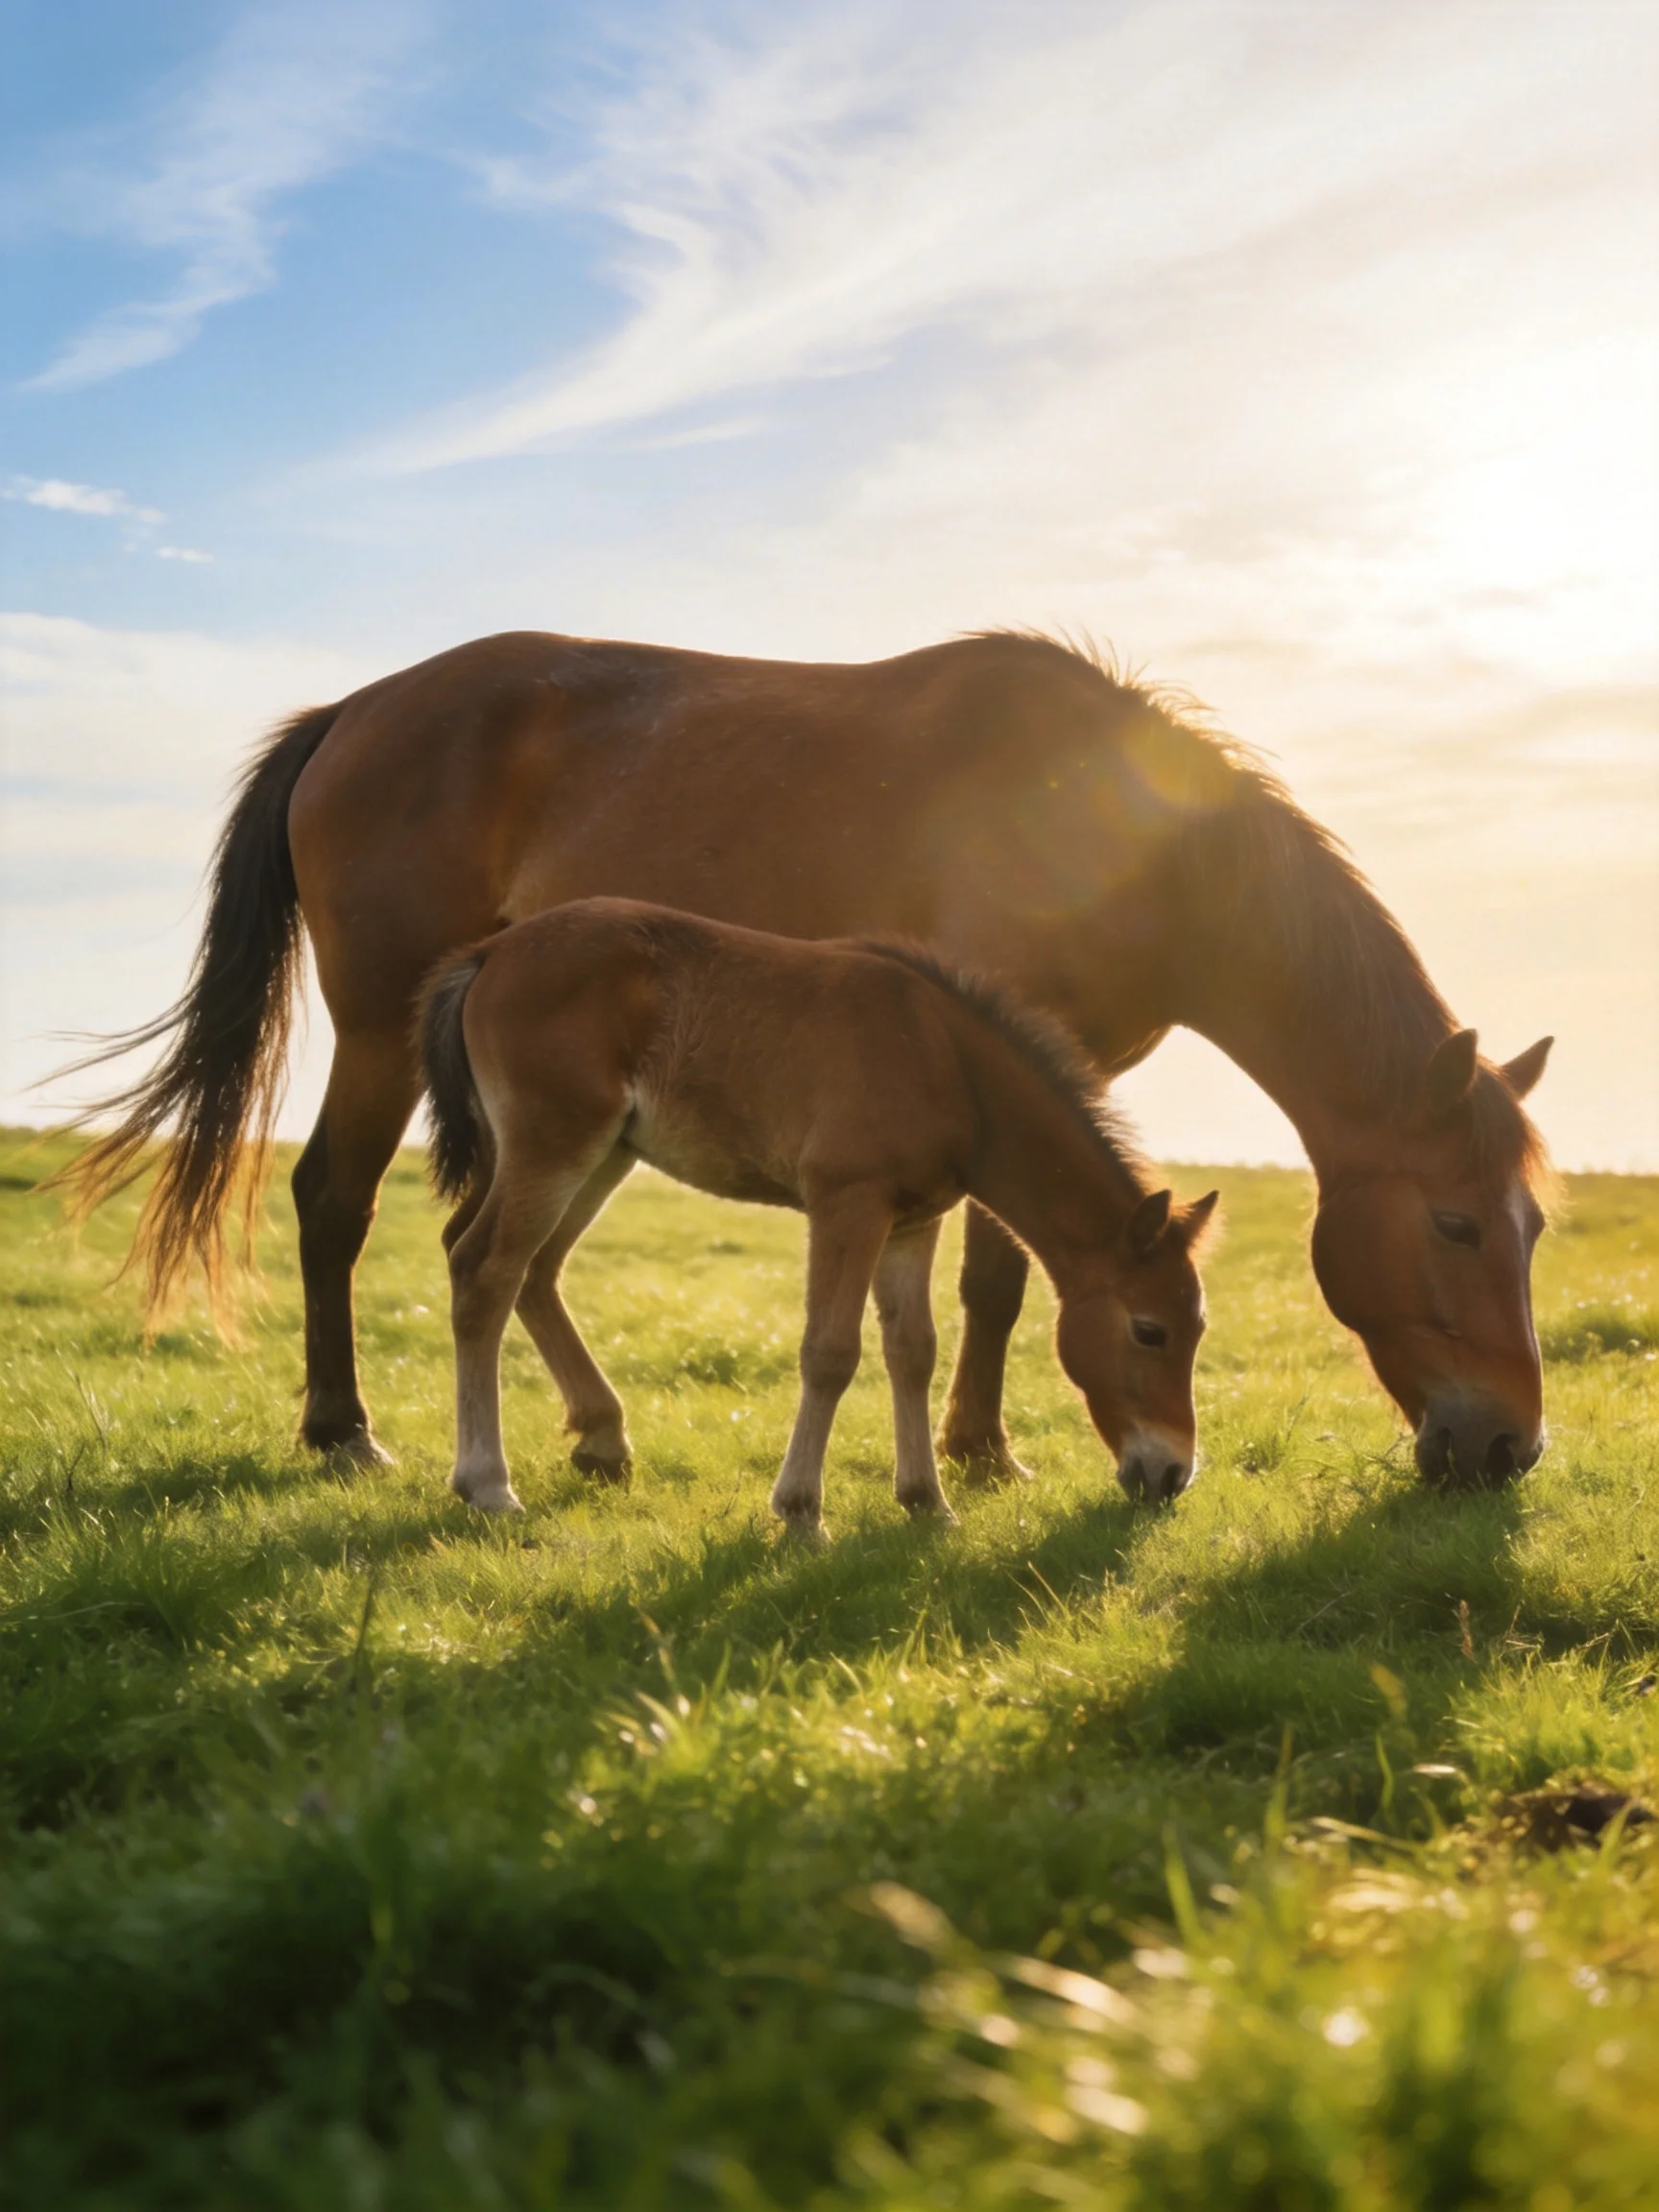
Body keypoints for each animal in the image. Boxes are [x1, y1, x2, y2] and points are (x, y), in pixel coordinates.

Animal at [416, 898, 1218, 1527]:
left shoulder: (914, 1221)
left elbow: (912, 1350)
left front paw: (927, 1502)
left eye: (1198, 1329)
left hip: (601, 1154)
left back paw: (602, 1440)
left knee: (529, 1267)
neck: (942, 1058)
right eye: (1150, 1331)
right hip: (555, 1146)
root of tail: (489, 953)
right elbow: (830, 1353)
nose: (1173, 1474)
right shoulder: (847, 1203)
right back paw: (488, 1484)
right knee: (485, 1269)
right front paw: (801, 1510)